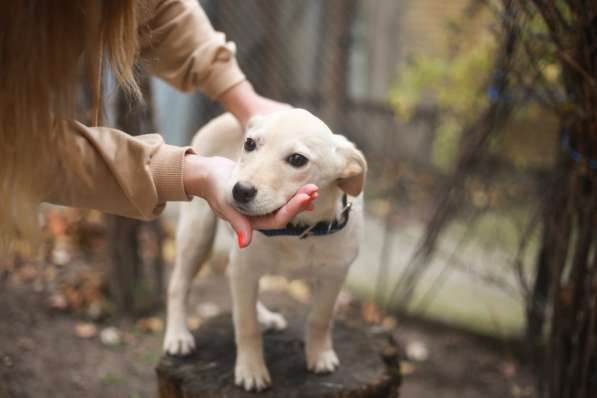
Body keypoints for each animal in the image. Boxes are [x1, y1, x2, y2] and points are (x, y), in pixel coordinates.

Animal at [165, 109, 366, 392]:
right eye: (249, 144)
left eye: (297, 159)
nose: (240, 190)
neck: (298, 231)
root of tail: (224, 117)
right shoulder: (245, 268)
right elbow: (246, 324)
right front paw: (251, 370)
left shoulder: (334, 276)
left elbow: (321, 318)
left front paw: (320, 355)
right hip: (198, 232)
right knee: (178, 285)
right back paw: (178, 335)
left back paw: (266, 317)